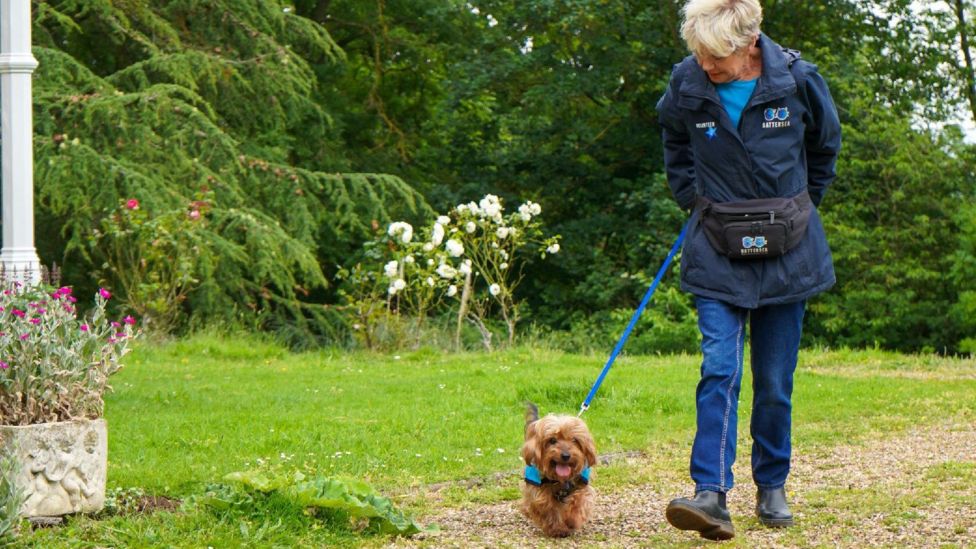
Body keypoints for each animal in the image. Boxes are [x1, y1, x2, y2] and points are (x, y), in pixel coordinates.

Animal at [520, 402, 596, 536]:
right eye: (552, 440)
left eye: (574, 440)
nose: (565, 456)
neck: (560, 479)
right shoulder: (538, 490)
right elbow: (546, 506)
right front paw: (557, 528)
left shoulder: (582, 484)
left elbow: (579, 499)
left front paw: (572, 519)